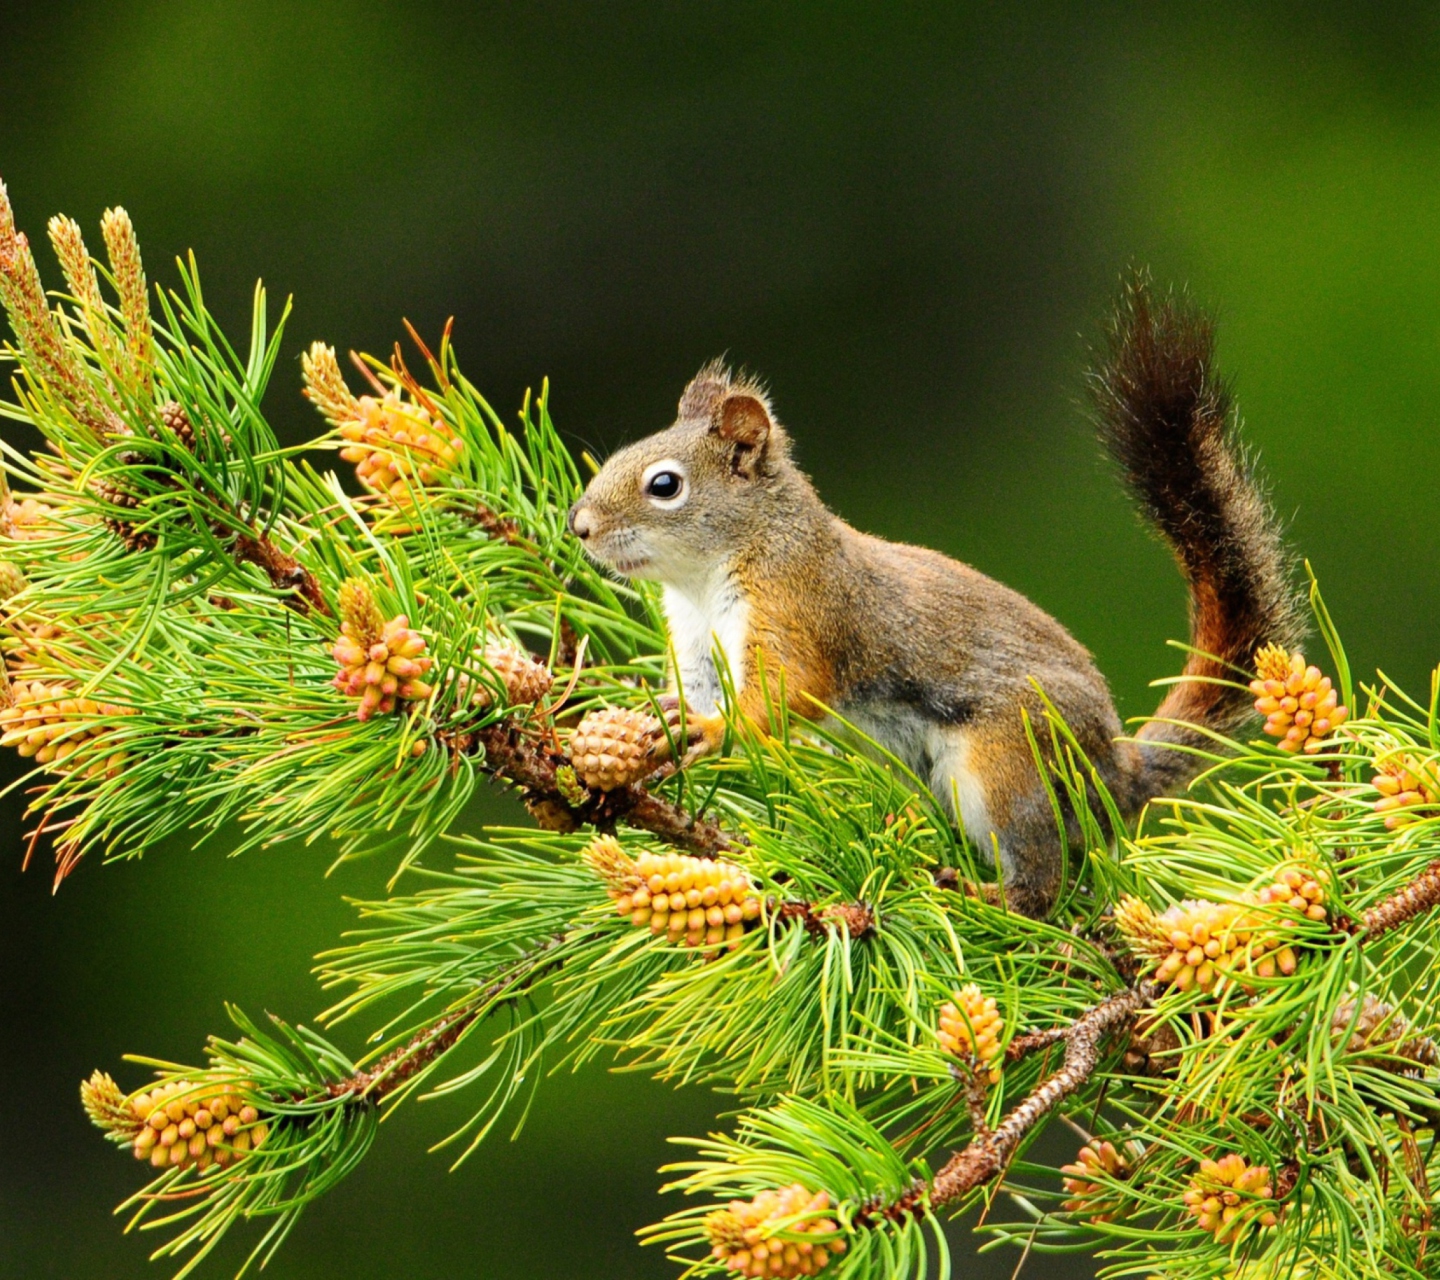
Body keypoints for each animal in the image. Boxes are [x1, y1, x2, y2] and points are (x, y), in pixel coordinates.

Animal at [564, 279, 1307, 921]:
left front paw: (712, 730)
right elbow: (693, 690)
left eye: (665, 485)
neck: (706, 577)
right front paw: (661, 721)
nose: (579, 527)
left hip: (1009, 763)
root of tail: (1116, 775)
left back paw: (987, 895)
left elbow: (785, 693)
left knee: (1042, 880)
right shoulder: (695, 645)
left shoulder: (799, 610)